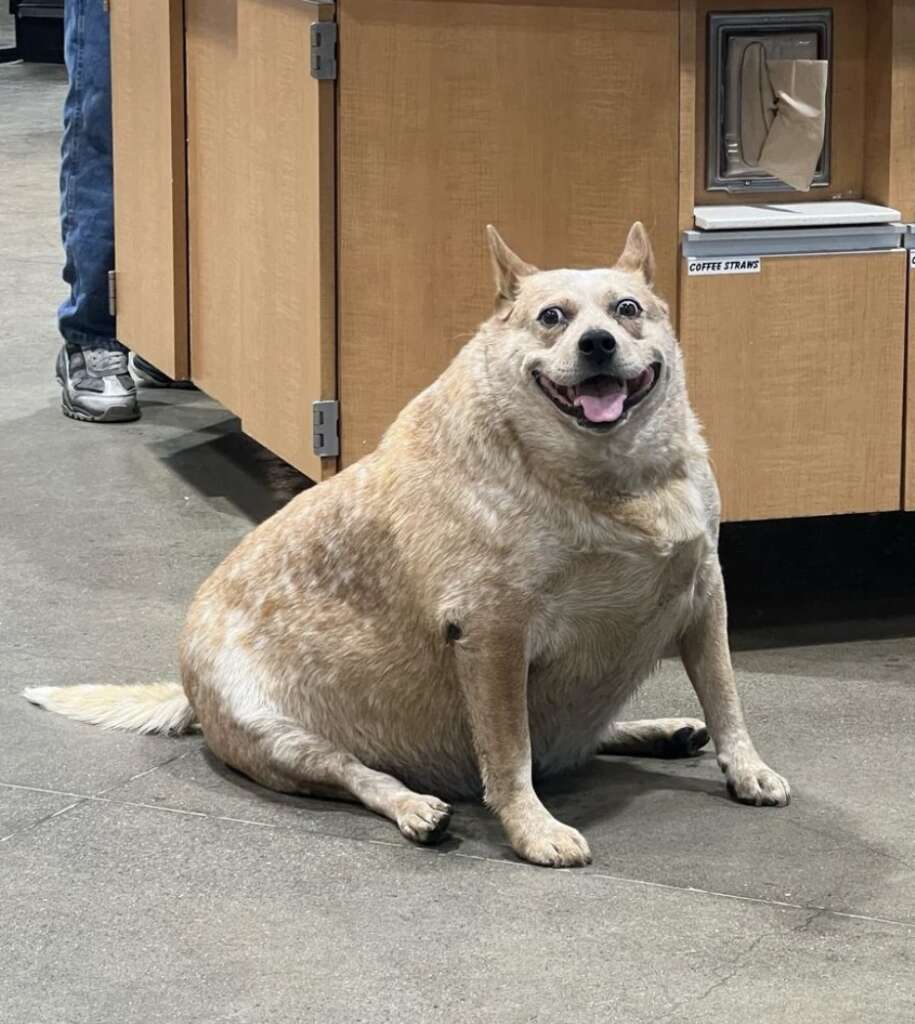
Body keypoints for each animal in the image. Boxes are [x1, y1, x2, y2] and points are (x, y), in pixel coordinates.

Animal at [26, 224, 786, 864]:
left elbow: (725, 698)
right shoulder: (492, 634)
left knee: (573, 740)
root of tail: (185, 684)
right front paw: (531, 829)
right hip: (279, 736)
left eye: (626, 309)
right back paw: (417, 808)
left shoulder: (704, 592)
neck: (611, 482)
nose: (596, 343)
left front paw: (746, 769)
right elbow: (507, 751)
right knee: (361, 774)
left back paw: (659, 729)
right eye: (552, 318)